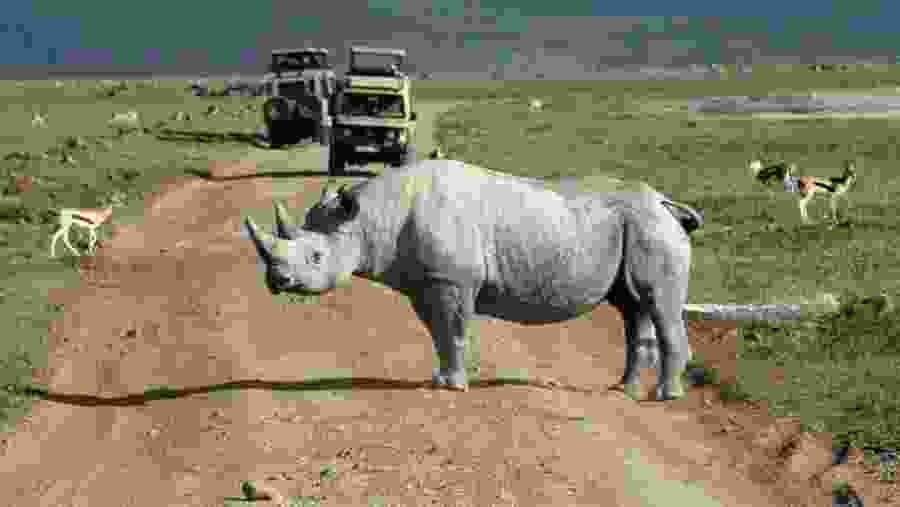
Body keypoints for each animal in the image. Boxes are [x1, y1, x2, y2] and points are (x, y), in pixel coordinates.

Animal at [244, 159, 704, 400]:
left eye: (316, 257)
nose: (276, 280)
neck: (370, 218)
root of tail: (666, 204)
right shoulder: (426, 281)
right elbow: (438, 333)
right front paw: (441, 380)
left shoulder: (453, 280)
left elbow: (454, 331)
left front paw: (455, 388)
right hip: (638, 228)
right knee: (631, 306)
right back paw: (623, 389)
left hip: (651, 230)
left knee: (656, 303)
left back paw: (663, 397)